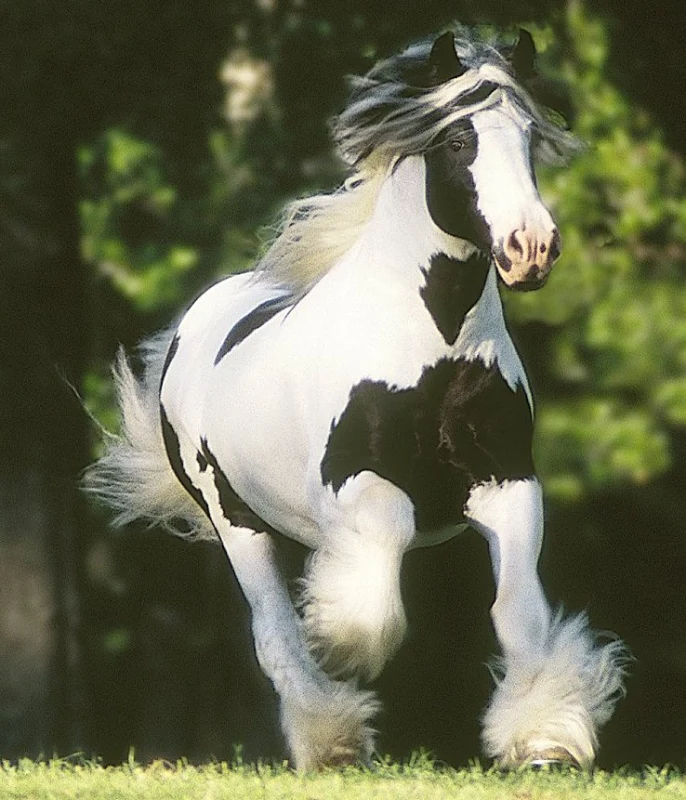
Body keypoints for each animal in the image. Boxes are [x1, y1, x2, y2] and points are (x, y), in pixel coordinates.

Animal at [86, 28, 628, 771]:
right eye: (458, 140)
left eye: (527, 136)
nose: (531, 247)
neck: (435, 350)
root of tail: (198, 319)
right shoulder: (356, 483)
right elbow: (377, 577)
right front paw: (341, 645)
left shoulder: (508, 481)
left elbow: (518, 612)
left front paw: (544, 738)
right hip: (236, 520)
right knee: (274, 633)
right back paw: (331, 736)